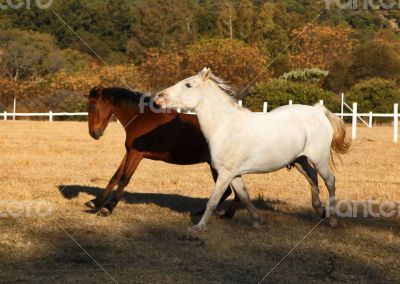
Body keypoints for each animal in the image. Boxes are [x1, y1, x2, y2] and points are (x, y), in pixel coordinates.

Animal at [85, 86, 241, 217]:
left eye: (93, 106)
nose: (94, 133)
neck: (143, 118)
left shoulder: (136, 154)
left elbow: (124, 179)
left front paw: (107, 208)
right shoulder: (129, 152)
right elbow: (115, 176)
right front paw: (95, 201)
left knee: (226, 192)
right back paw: (221, 214)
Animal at [155, 67, 348, 232]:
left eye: (188, 84)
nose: (158, 97)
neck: (225, 127)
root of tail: (319, 112)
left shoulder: (225, 174)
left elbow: (213, 201)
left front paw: (198, 227)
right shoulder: (233, 174)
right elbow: (244, 196)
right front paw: (258, 221)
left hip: (319, 159)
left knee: (330, 181)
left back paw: (332, 220)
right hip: (299, 160)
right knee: (312, 177)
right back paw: (320, 210)